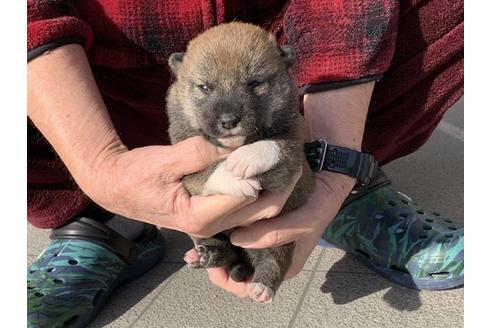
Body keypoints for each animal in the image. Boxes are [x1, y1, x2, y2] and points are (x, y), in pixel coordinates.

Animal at [164, 21, 312, 304]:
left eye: (255, 83)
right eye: (205, 87)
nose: (229, 120)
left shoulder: (293, 154)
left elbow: (276, 145)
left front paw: (244, 159)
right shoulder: (185, 168)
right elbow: (208, 172)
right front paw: (233, 178)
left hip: (277, 237)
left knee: (275, 258)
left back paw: (262, 286)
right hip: (205, 232)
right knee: (223, 248)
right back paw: (205, 255)